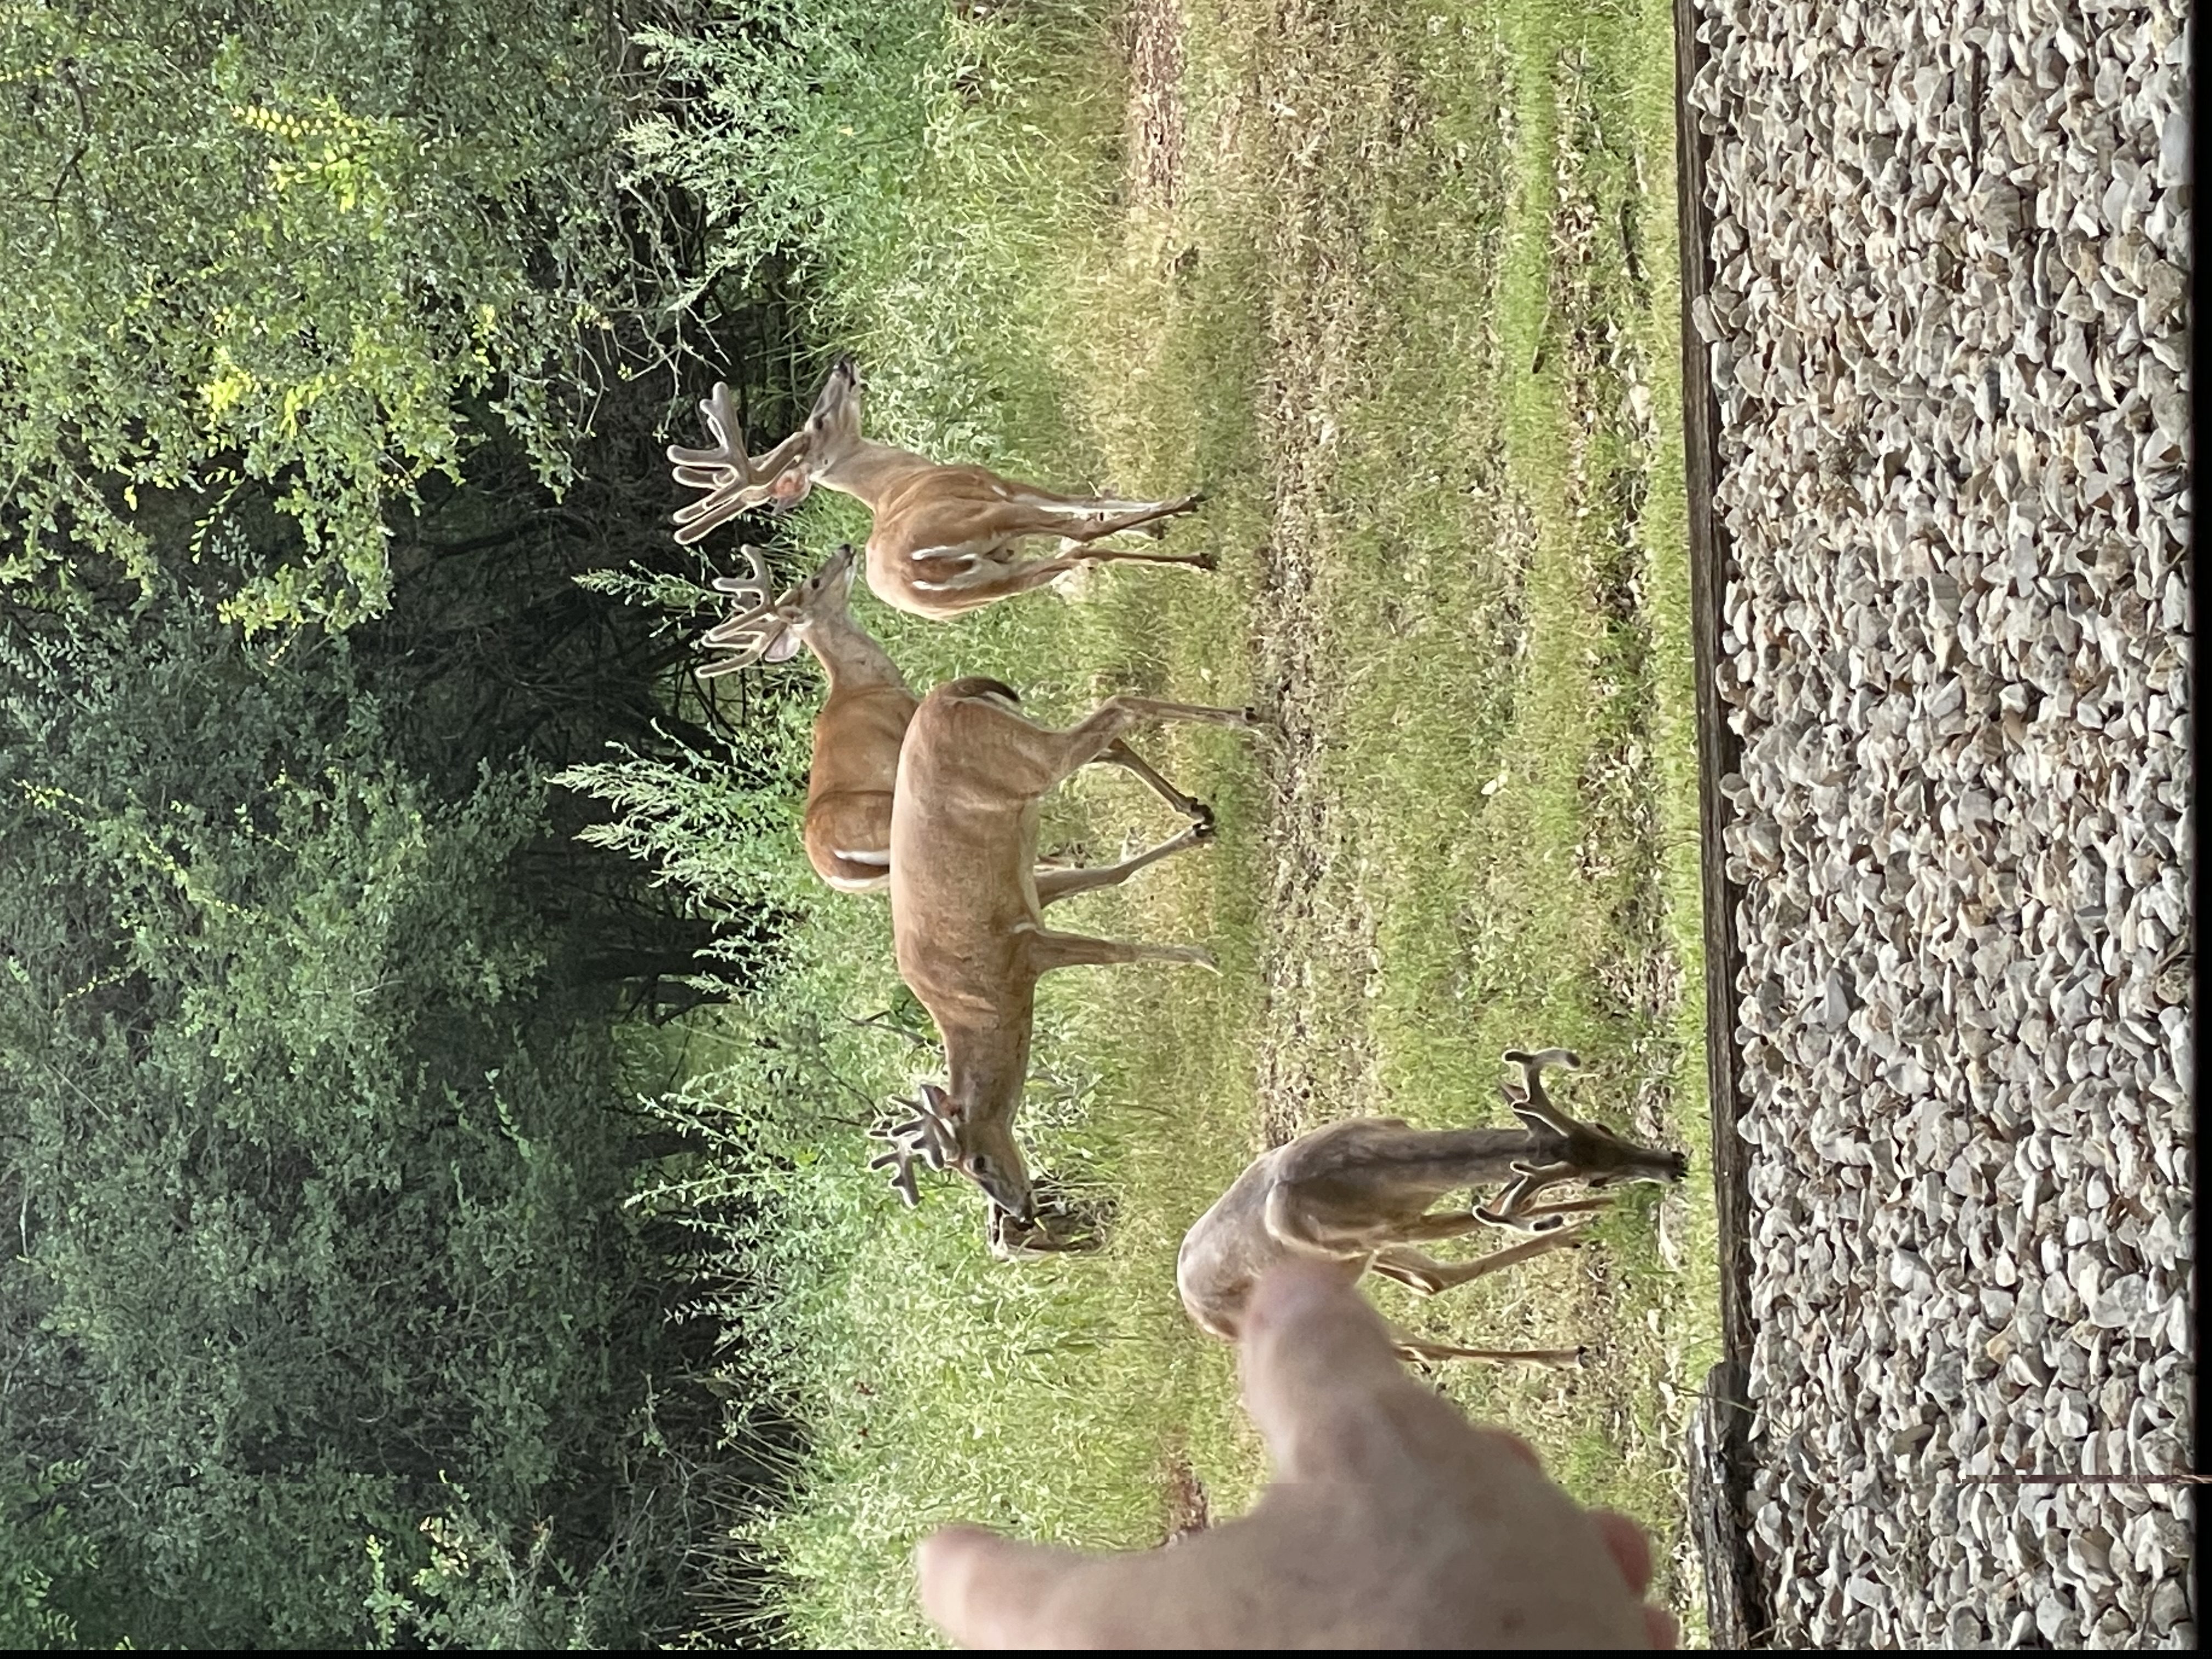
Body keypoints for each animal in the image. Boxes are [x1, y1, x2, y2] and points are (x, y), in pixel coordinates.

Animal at [668, 359, 1215, 620]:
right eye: (819, 420)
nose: (843, 364)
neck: (898, 481)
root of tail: (915, 571)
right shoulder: (995, 484)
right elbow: (1086, 505)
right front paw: (1165, 514)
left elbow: (1084, 521)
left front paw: (1157, 528)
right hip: (991, 522)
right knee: (1079, 538)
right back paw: (1193, 528)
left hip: (996, 582)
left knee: (1078, 551)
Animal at [693, 543, 1225, 895]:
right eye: (815, 582)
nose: (844, 550)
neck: (865, 682)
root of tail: (836, 866)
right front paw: (1192, 806)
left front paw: (1191, 805)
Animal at [865, 682, 1267, 1245]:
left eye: (977, 1162)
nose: (1017, 1211)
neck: (975, 1005)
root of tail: (950, 694)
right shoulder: (1035, 894)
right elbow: (1113, 874)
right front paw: (1195, 839)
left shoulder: (1021, 952)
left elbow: (1115, 951)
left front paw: (1206, 957)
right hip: (1028, 754)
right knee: (1106, 743)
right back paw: (1195, 808)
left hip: (1028, 761)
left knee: (1116, 713)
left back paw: (1247, 720)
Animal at [1175, 1048, 1689, 1366]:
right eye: (1595, 1172)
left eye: (1602, 1128)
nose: (1672, 1164)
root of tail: (1198, 1313)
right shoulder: (1393, 1231)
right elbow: (1488, 1217)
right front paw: (1592, 1212)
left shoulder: (1389, 1228)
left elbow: (1491, 1213)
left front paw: (1598, 1213)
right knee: (1418, 1349)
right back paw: (1565, 1354)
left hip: (1360, 1266)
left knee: (1431, 1282)